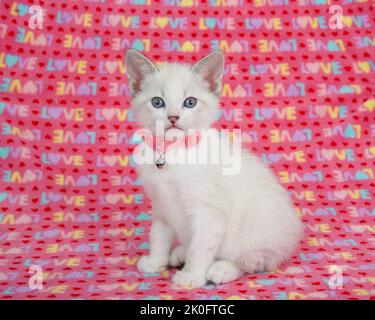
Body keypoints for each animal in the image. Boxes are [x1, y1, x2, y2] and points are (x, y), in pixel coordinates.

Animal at [125, 49, 304, 288]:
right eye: (157, 102)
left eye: (190, 102)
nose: (173, 117)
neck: (173, 152)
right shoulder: (161, 205)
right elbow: (158, 237)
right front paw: (155, 263)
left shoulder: (208, 213)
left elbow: (199, 249)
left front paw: (191, 277)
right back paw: (179, 253)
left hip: (257, 226)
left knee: (254, 259)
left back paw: (221, 269)